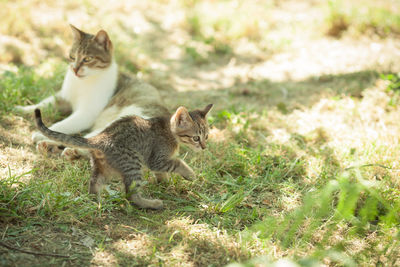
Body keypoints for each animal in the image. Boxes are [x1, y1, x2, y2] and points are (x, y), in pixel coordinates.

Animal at [35, 103, 212, 210]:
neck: (169, 131)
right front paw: (190, 174)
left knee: (94, 183)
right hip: (133, 164)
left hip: (103, 168)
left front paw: (165, 183)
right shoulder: (157, 159)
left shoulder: (158, 162)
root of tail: (98, 138)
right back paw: (152, 203)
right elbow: (178, 162)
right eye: (196, 138)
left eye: (207, 136)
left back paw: (97, 202)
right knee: (131, 195)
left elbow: (162, 173)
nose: (204, 147)